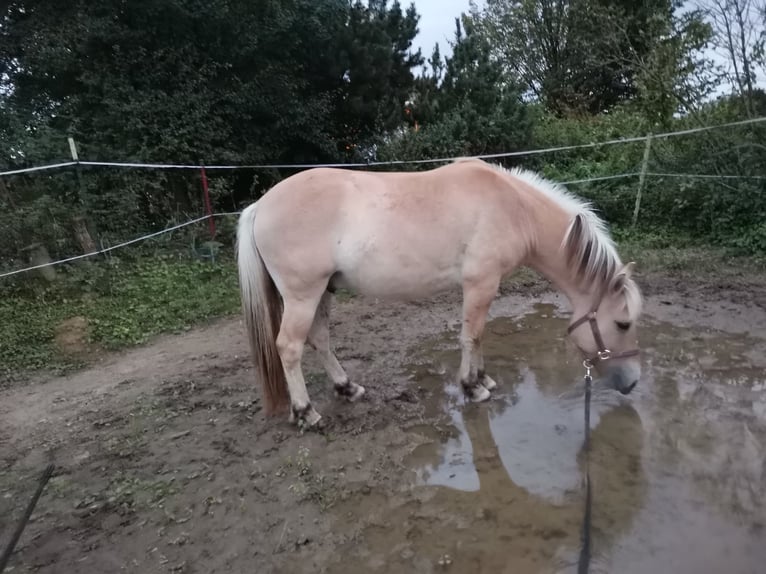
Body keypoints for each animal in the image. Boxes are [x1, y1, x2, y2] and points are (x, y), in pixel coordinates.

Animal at [237, 160, 644, 430]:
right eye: (623, 323)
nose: (633, 383)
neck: (514, 208)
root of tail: (259, 206)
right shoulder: (480, 282)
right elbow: (470, 335)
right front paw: (472, 388)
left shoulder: (485, 285)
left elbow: (478, 335)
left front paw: (483, 379)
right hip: (303, 296)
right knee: (290, 347)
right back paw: (306, 412)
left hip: (323, 291)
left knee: (319, 339)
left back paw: (347, 388)